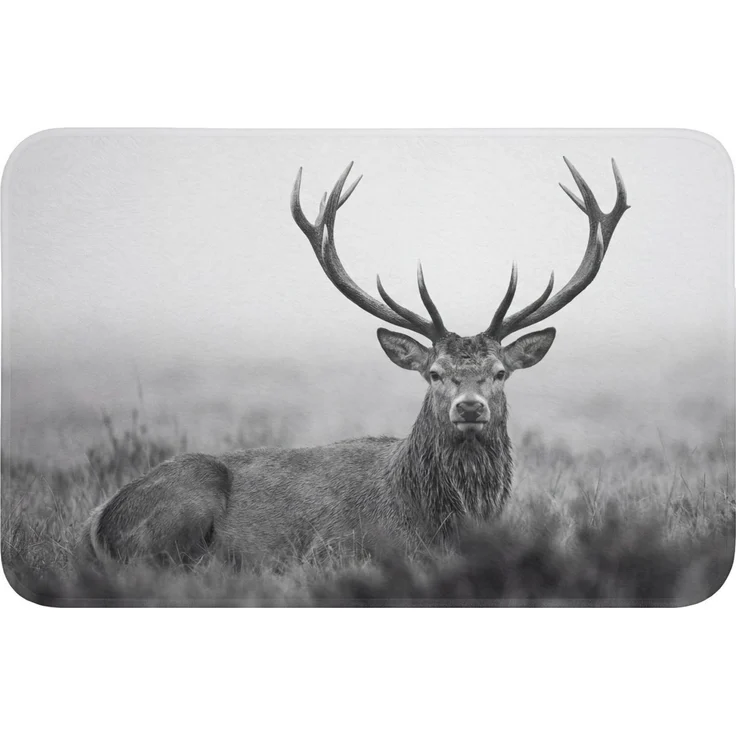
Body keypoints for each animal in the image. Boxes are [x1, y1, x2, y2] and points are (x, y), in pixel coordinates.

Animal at [83, 158, 629, 566]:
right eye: (434, 374)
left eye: (499, 373)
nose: (470, 407)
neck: (438, 516)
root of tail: (98, 522)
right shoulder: (334, 547)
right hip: (183, 505)